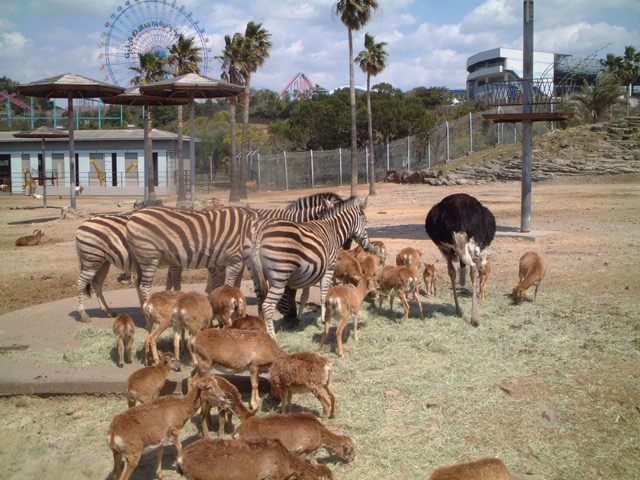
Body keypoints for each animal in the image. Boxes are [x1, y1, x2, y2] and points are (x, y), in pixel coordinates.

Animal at [245, 195, 376, 338]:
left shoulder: (311, 272)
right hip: (279, 276)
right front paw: (324, 319)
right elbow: (324, 293)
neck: (333, 230)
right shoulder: (329, 268)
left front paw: (299, 319)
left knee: (259, 304)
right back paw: (273, 337)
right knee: (267, 306)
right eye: (366, 221)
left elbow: (304, 297)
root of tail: (259, 234)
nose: (368, 247)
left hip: (256, 276)